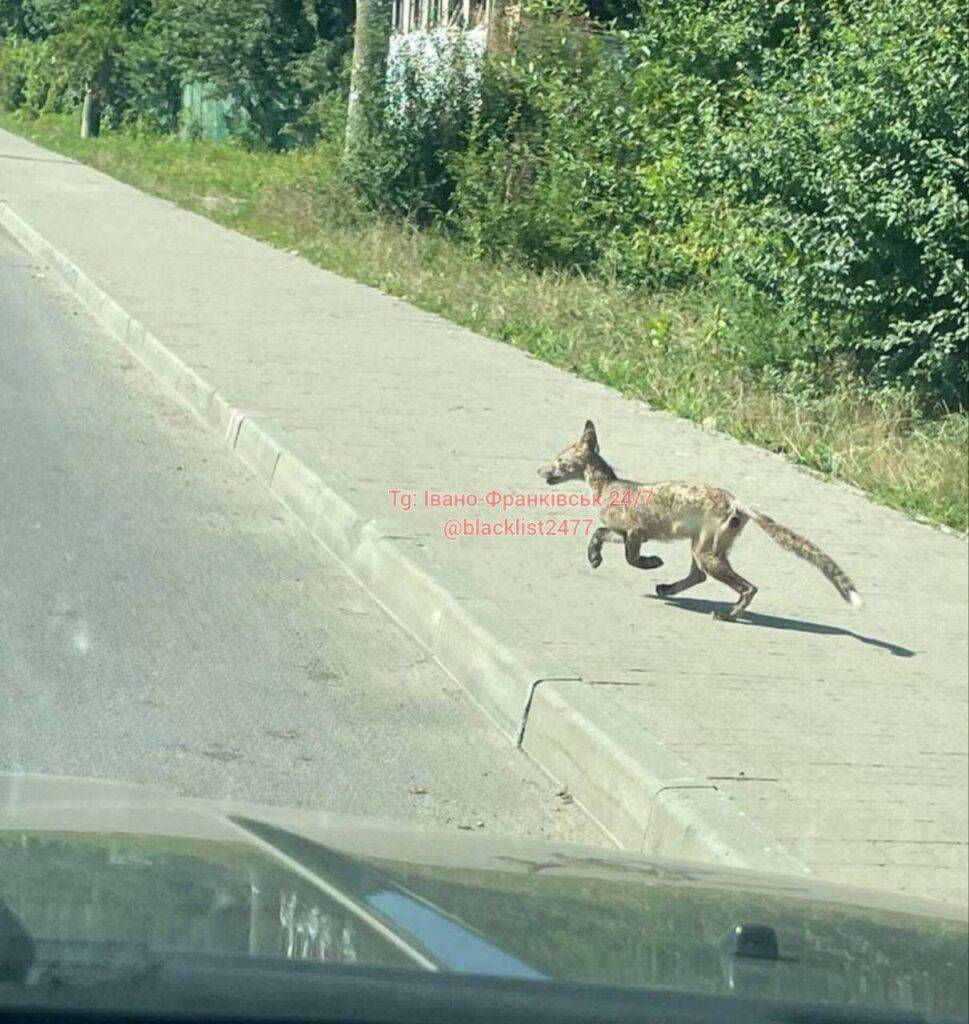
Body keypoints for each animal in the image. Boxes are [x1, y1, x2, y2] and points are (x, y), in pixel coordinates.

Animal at [536, 419, 860, 618]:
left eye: (560, 461)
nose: (540, 470)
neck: (607, 487)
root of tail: (737, 502)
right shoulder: (621, 532)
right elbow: (597, 534)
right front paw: (594, 558)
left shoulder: (636, 532)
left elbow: (631, 559)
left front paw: (651, 562)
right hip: (702, 548)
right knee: (699, 576)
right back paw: (668, 589)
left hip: (707, 553)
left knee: (747, 587)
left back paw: (728, 616)